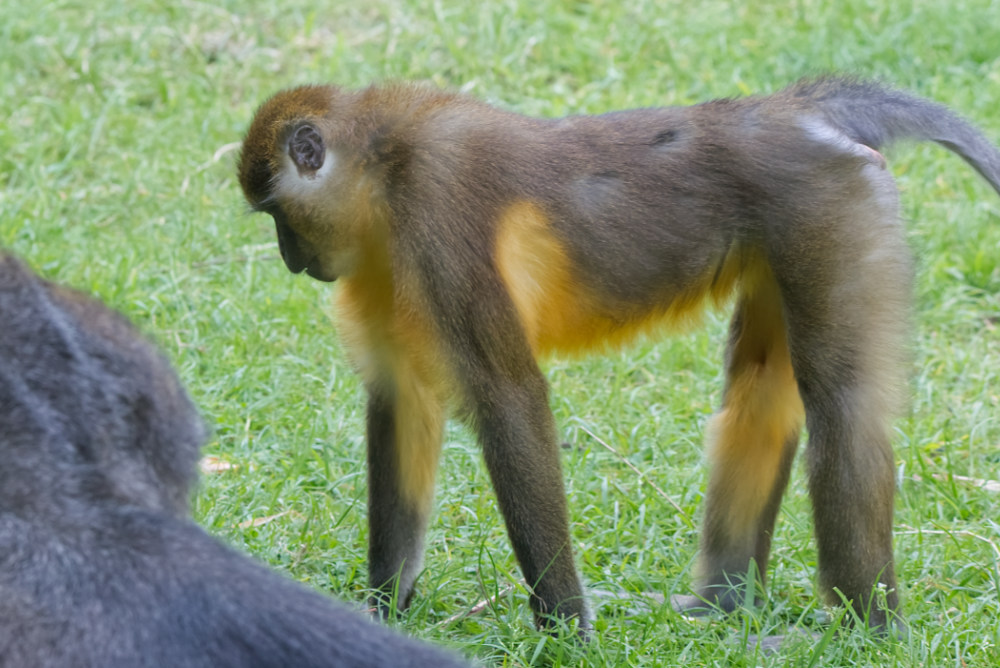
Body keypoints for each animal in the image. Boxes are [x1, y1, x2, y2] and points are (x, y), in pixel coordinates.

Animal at [240, 78, 1000, 632]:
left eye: (279, 215)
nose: (290, 257)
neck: (381, 163)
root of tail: (788, 112)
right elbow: (403, 401)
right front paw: (382, 610)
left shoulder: (435, 214)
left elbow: (509, 396)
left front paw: (565, 629)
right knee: (759, 389)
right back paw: (721, 605)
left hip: (832, 209)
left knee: (842, 402)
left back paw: (868, 631)